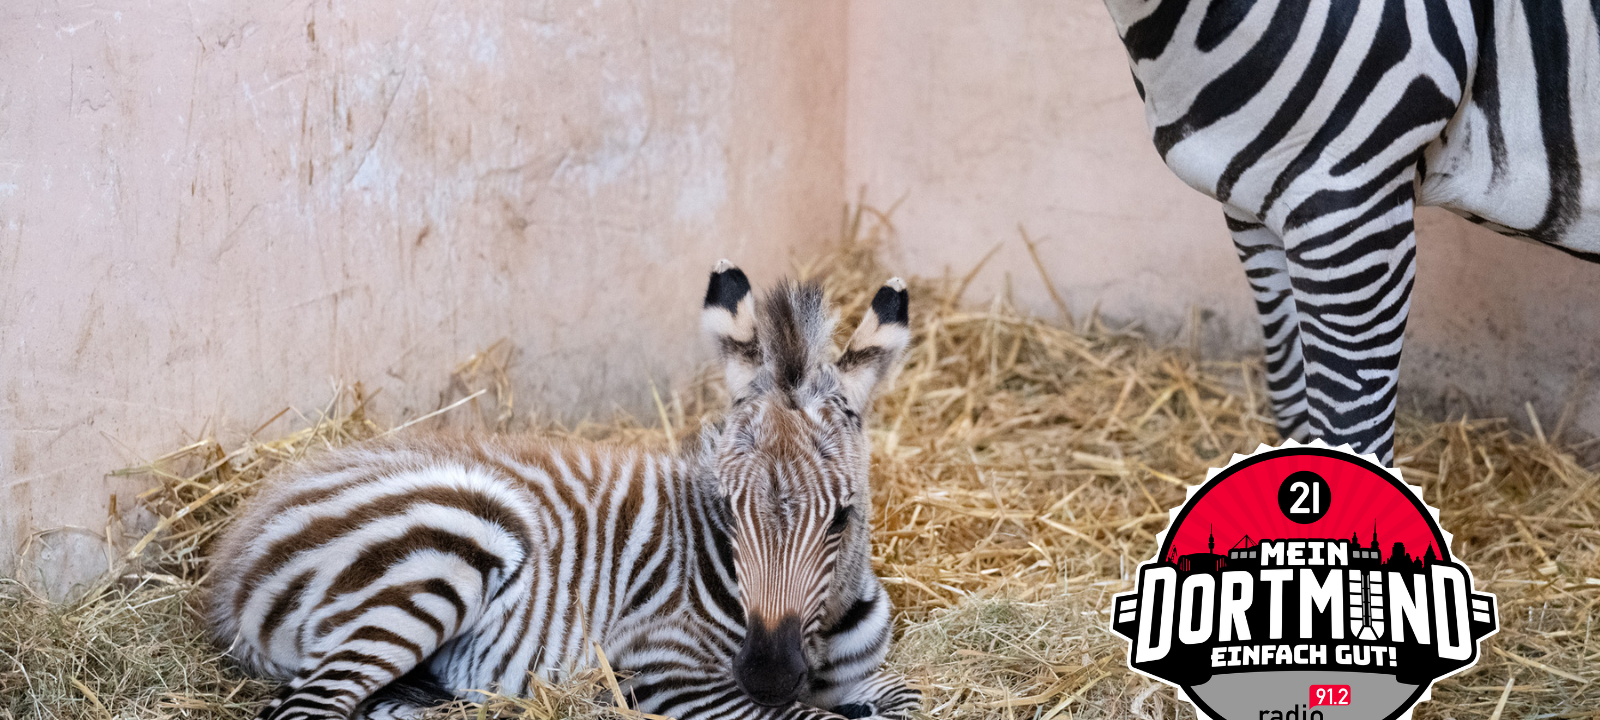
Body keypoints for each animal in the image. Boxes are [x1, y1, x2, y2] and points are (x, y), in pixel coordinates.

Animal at [205, 262, 922, 720]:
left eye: (842, 519)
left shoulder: (867, 674)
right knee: (305, 708)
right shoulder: (663, 670)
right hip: (449, 545)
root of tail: (240, 548)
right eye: (727, 511)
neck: (822, 628)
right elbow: (810, 719)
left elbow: (906, 700)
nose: (768, 677)